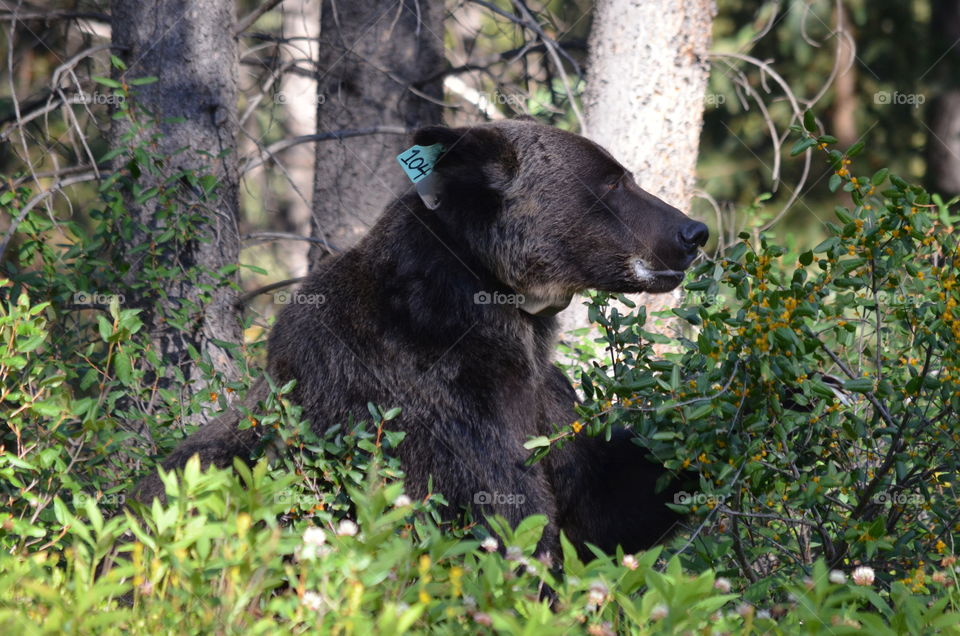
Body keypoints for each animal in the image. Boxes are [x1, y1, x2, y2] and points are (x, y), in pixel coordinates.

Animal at [132, 119, 709, 560]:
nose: (692, 232)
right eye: (611, 183)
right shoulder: (427, 402)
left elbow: (600, 502)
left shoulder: (545, 397)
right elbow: (505, 517)